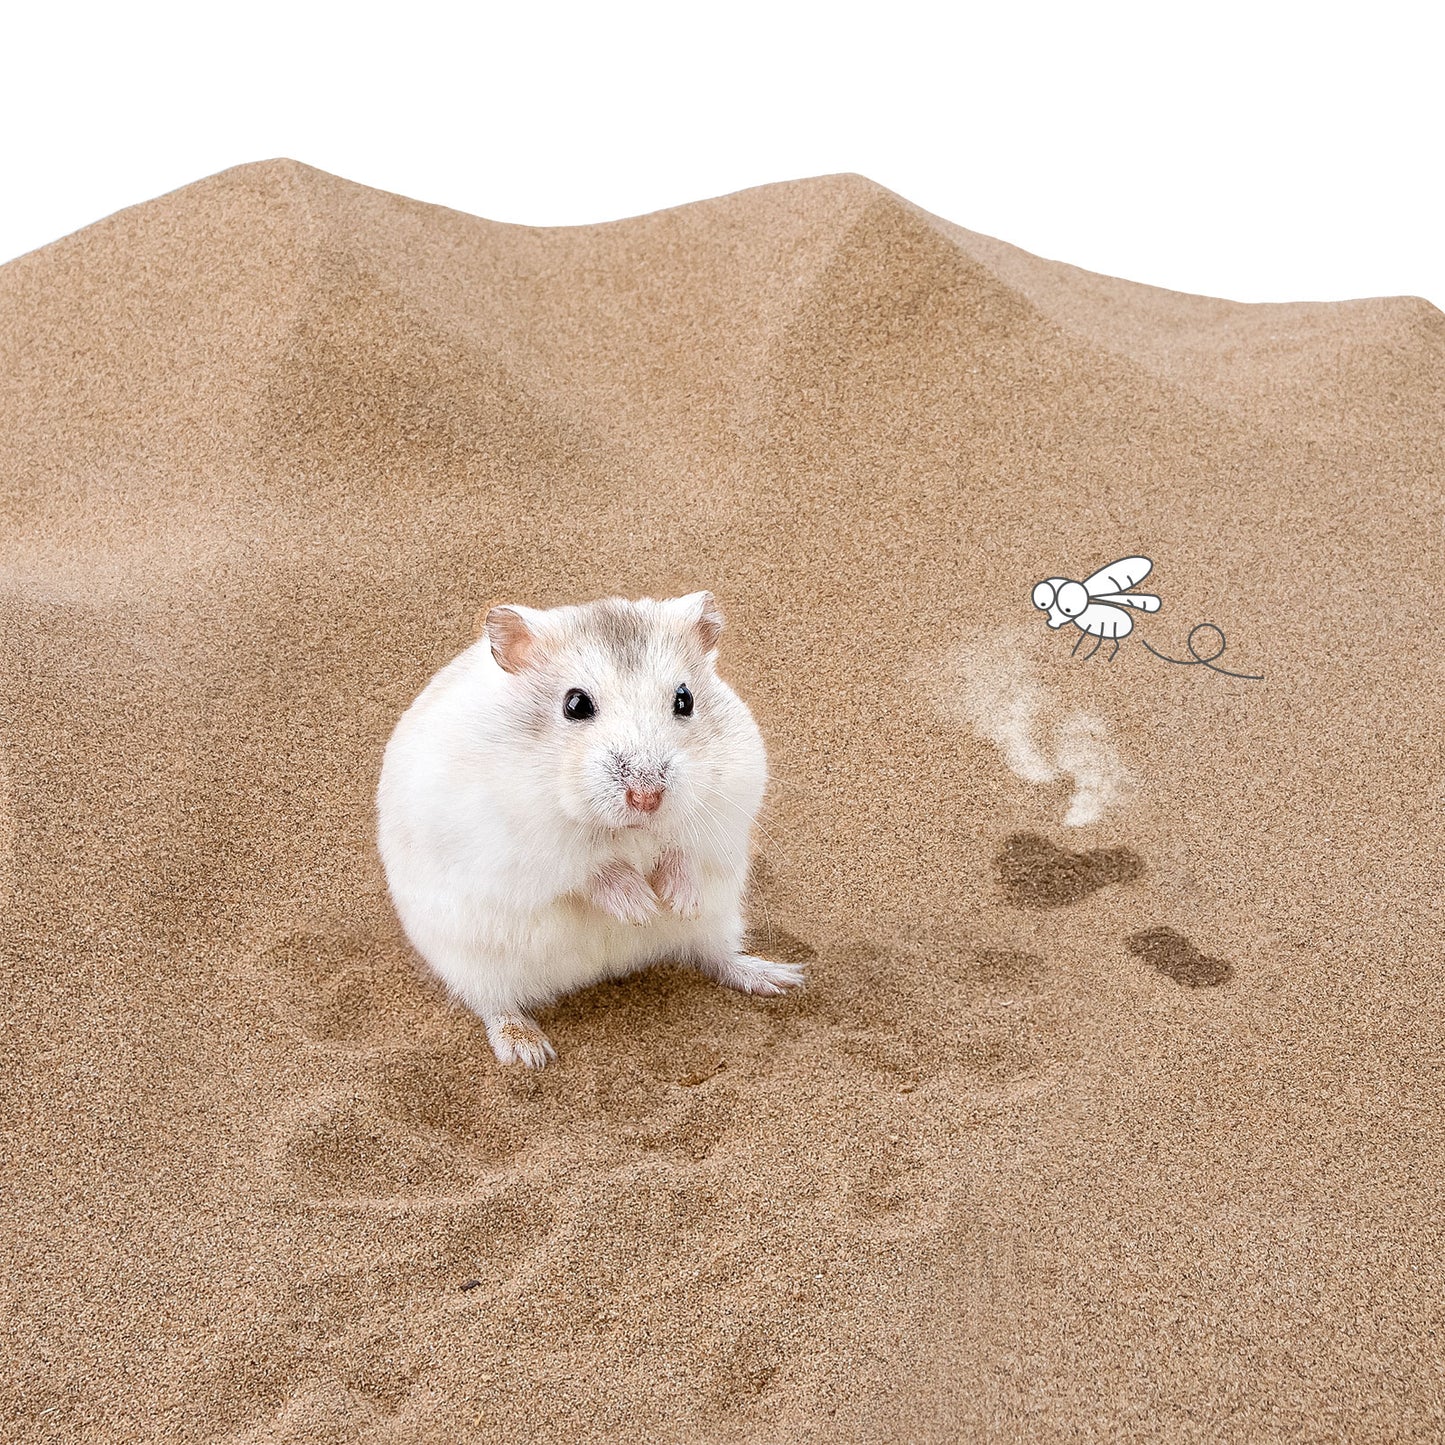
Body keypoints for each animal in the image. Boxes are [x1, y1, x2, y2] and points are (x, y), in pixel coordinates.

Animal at [376, 591, 802, 1067]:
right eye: (575, 704)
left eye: (685, 699)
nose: (647, 797)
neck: (629, 829)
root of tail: (605, 969)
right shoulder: (525, 845)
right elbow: (590, 870)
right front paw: (642, 908)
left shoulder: (726, 804)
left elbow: (682, 851)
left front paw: (676, 903)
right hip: (473, 960)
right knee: (494, 1004)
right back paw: (528, 1051)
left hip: (720, 918)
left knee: (716, 956)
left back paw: (778, 977)